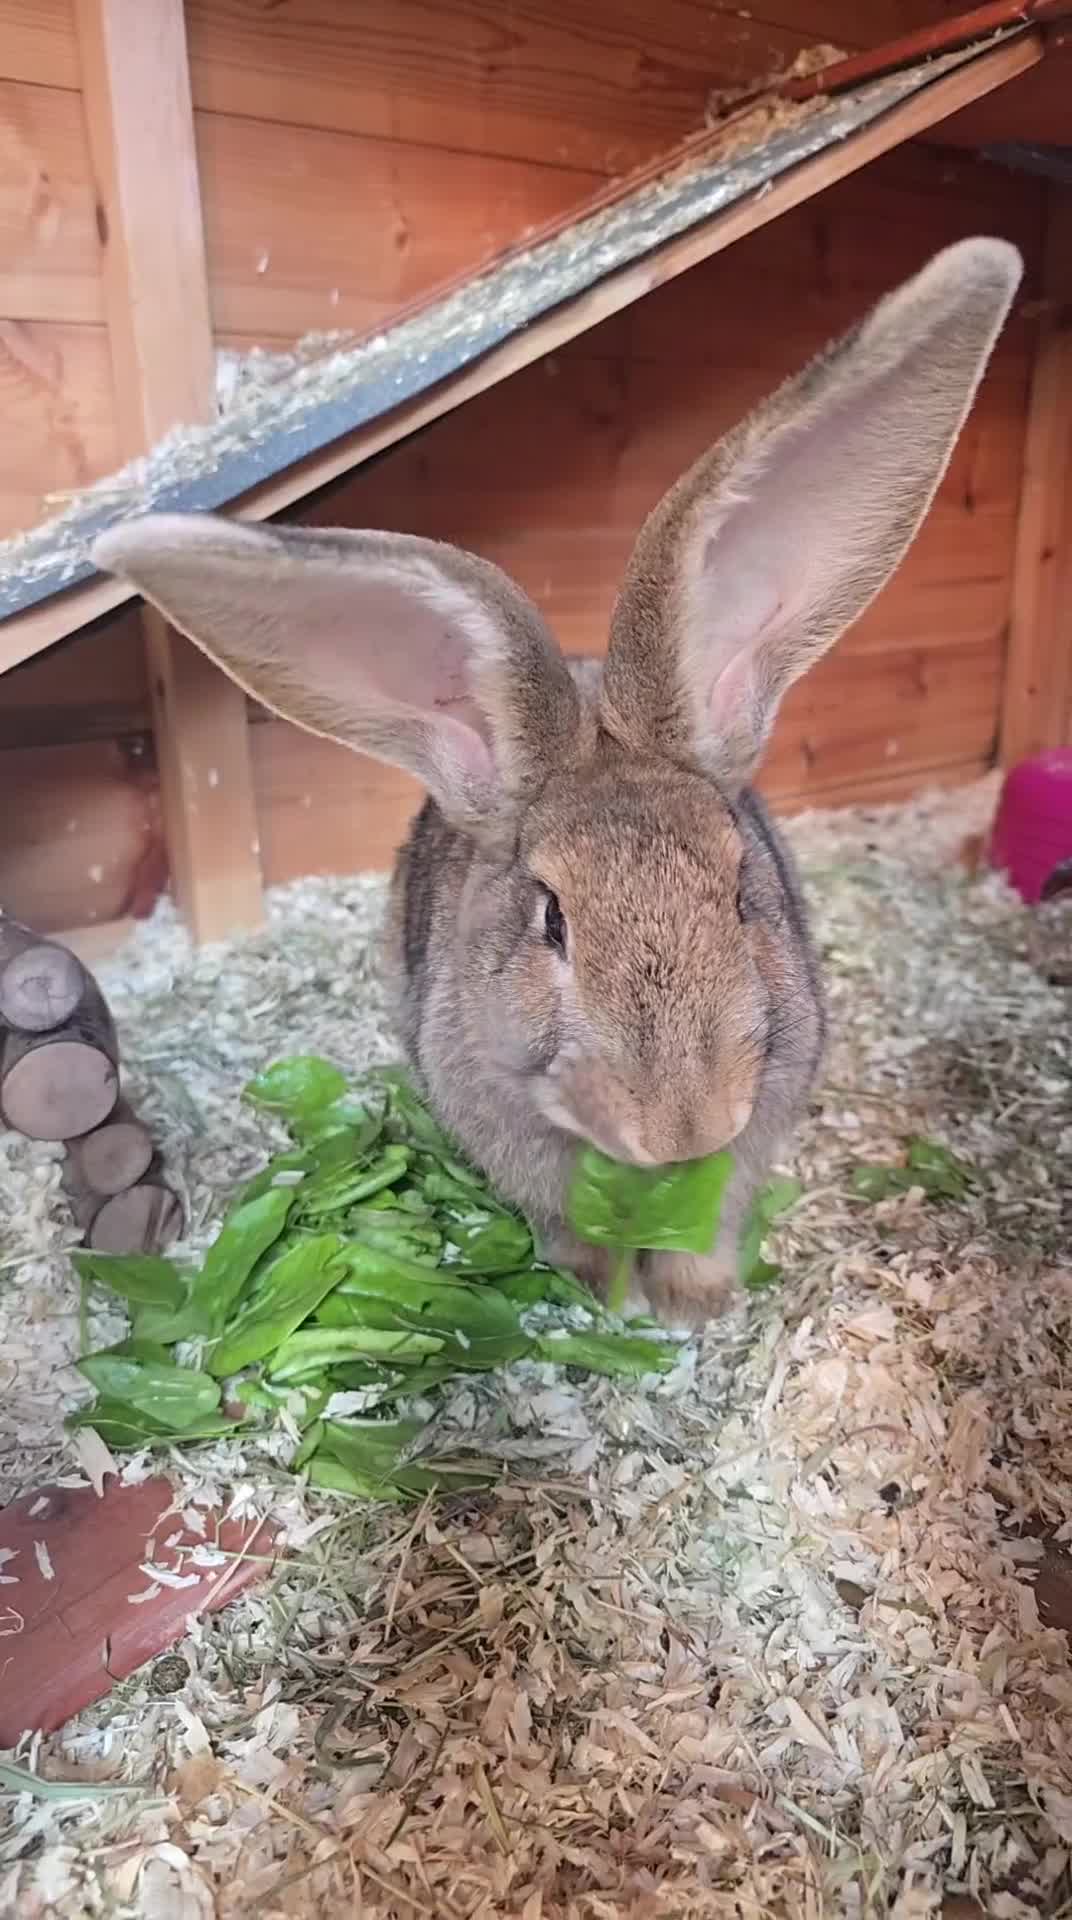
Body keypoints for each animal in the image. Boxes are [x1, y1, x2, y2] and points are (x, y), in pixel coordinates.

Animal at [93, 236, 1022, 1329]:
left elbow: (710, 1224)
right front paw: (601, 1295)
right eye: (552, 922)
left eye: (740, 893)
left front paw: (694, 1303)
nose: (682, 1125)